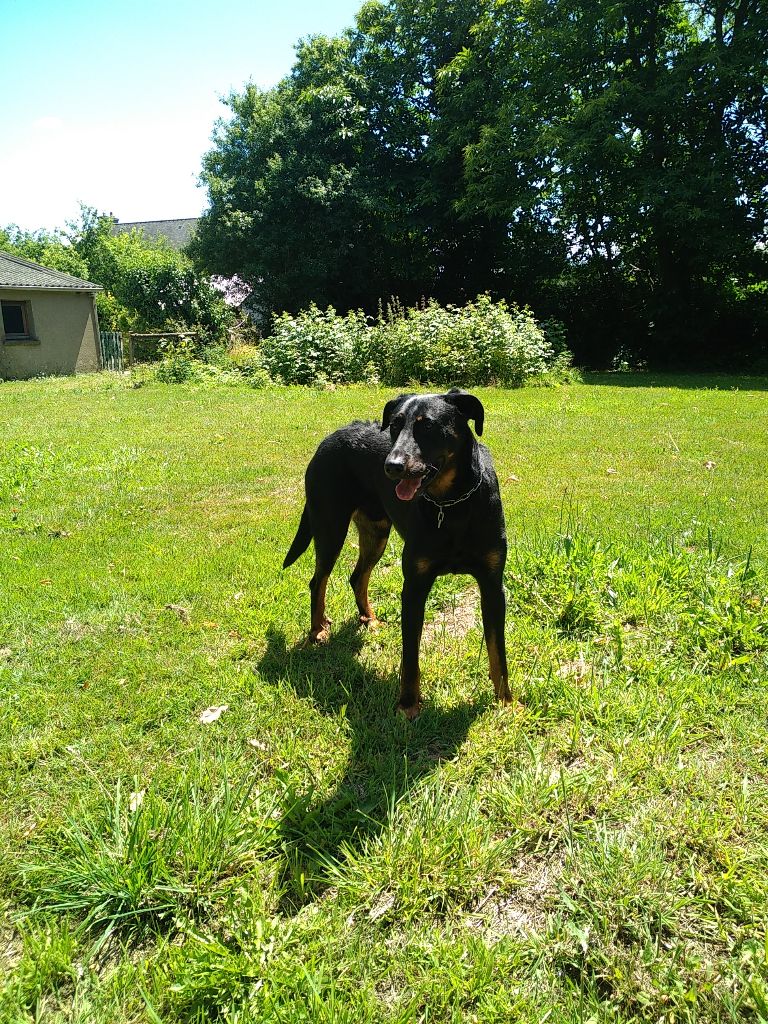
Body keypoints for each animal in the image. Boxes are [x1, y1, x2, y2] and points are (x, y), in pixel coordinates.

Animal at [284, 387, 512, 716]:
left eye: (427, 425)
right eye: (394, 425)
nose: (391, 466)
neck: (451, 505)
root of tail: (330, 437)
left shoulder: (492, 585)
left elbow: (498, 653)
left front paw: (506, 702)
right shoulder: (415, 586)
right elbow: (411, 656)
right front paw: (408, 704)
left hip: (376, 532)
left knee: (357, 576)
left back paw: (369, 619)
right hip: (330, 527)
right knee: (319, 581)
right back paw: (317, 631)